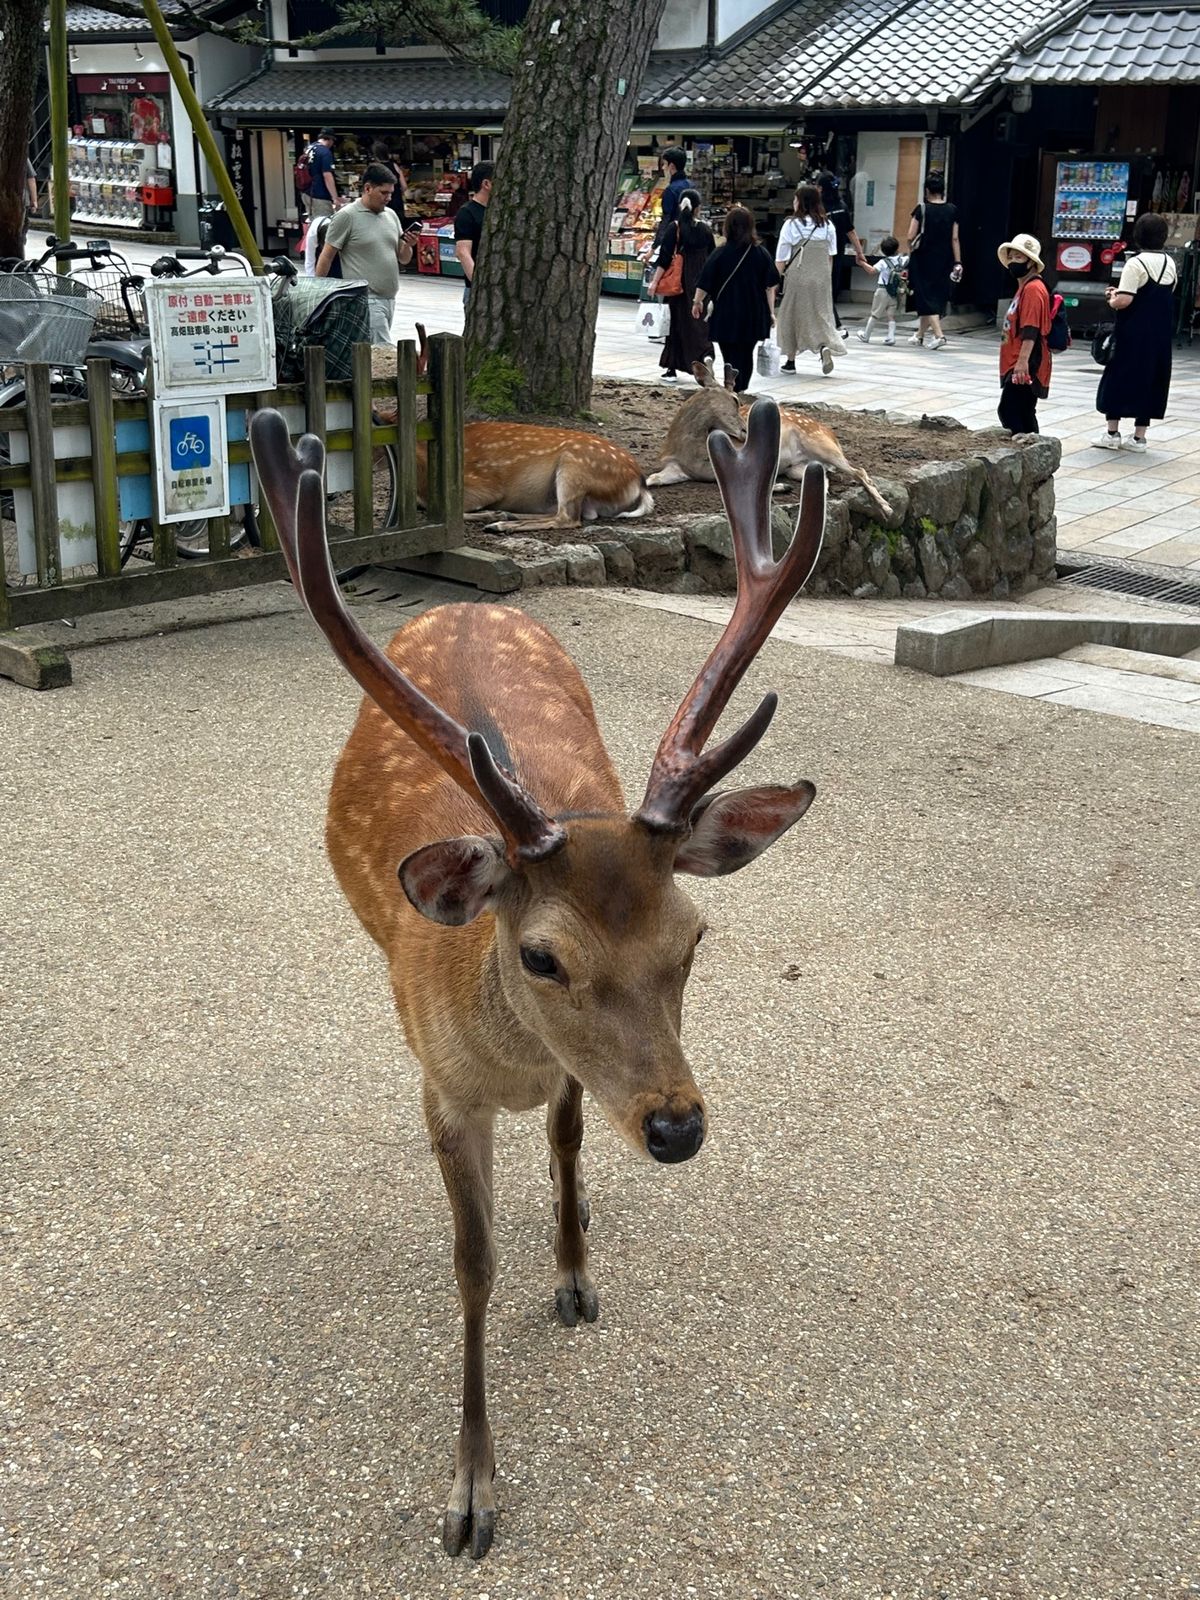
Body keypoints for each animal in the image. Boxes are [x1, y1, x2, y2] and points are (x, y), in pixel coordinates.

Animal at [248, 396, 825, 1562]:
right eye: (540, 954)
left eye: (695, 935)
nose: (677, 1127)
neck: (506, 1058)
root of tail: (465, 609)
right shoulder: (442, 1087)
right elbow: (471, 1264)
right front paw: (471, 1492)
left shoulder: (569, 1074)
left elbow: (565, 1138)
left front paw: (575, 1270)